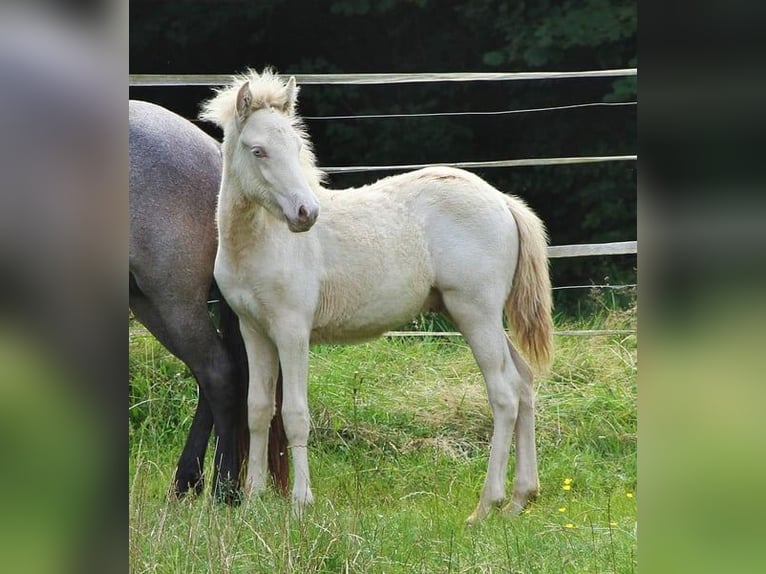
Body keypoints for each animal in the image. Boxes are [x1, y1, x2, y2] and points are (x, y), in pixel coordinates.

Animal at [130, 101, 290, 502]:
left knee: (219, 373)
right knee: (211, 376)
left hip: (174, 301)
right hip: (150, 303)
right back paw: (189, 481)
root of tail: (214, 152)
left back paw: (224, 487)